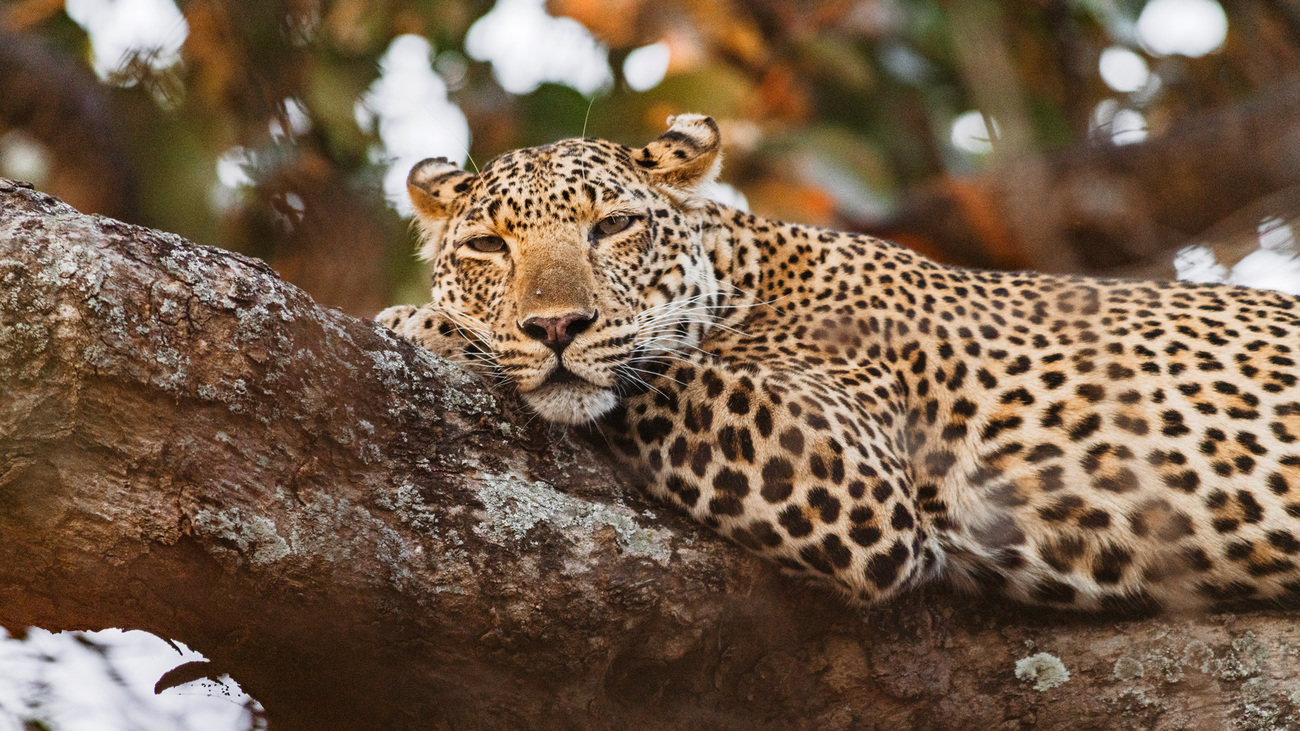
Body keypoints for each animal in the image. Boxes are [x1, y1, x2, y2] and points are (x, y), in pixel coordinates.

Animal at [377, 113, 1300, 608]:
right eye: (489, 246)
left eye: (614, 226)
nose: (556, 325)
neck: (747, 273)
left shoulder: (852, 469)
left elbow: (661, 373)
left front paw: (426, 323)